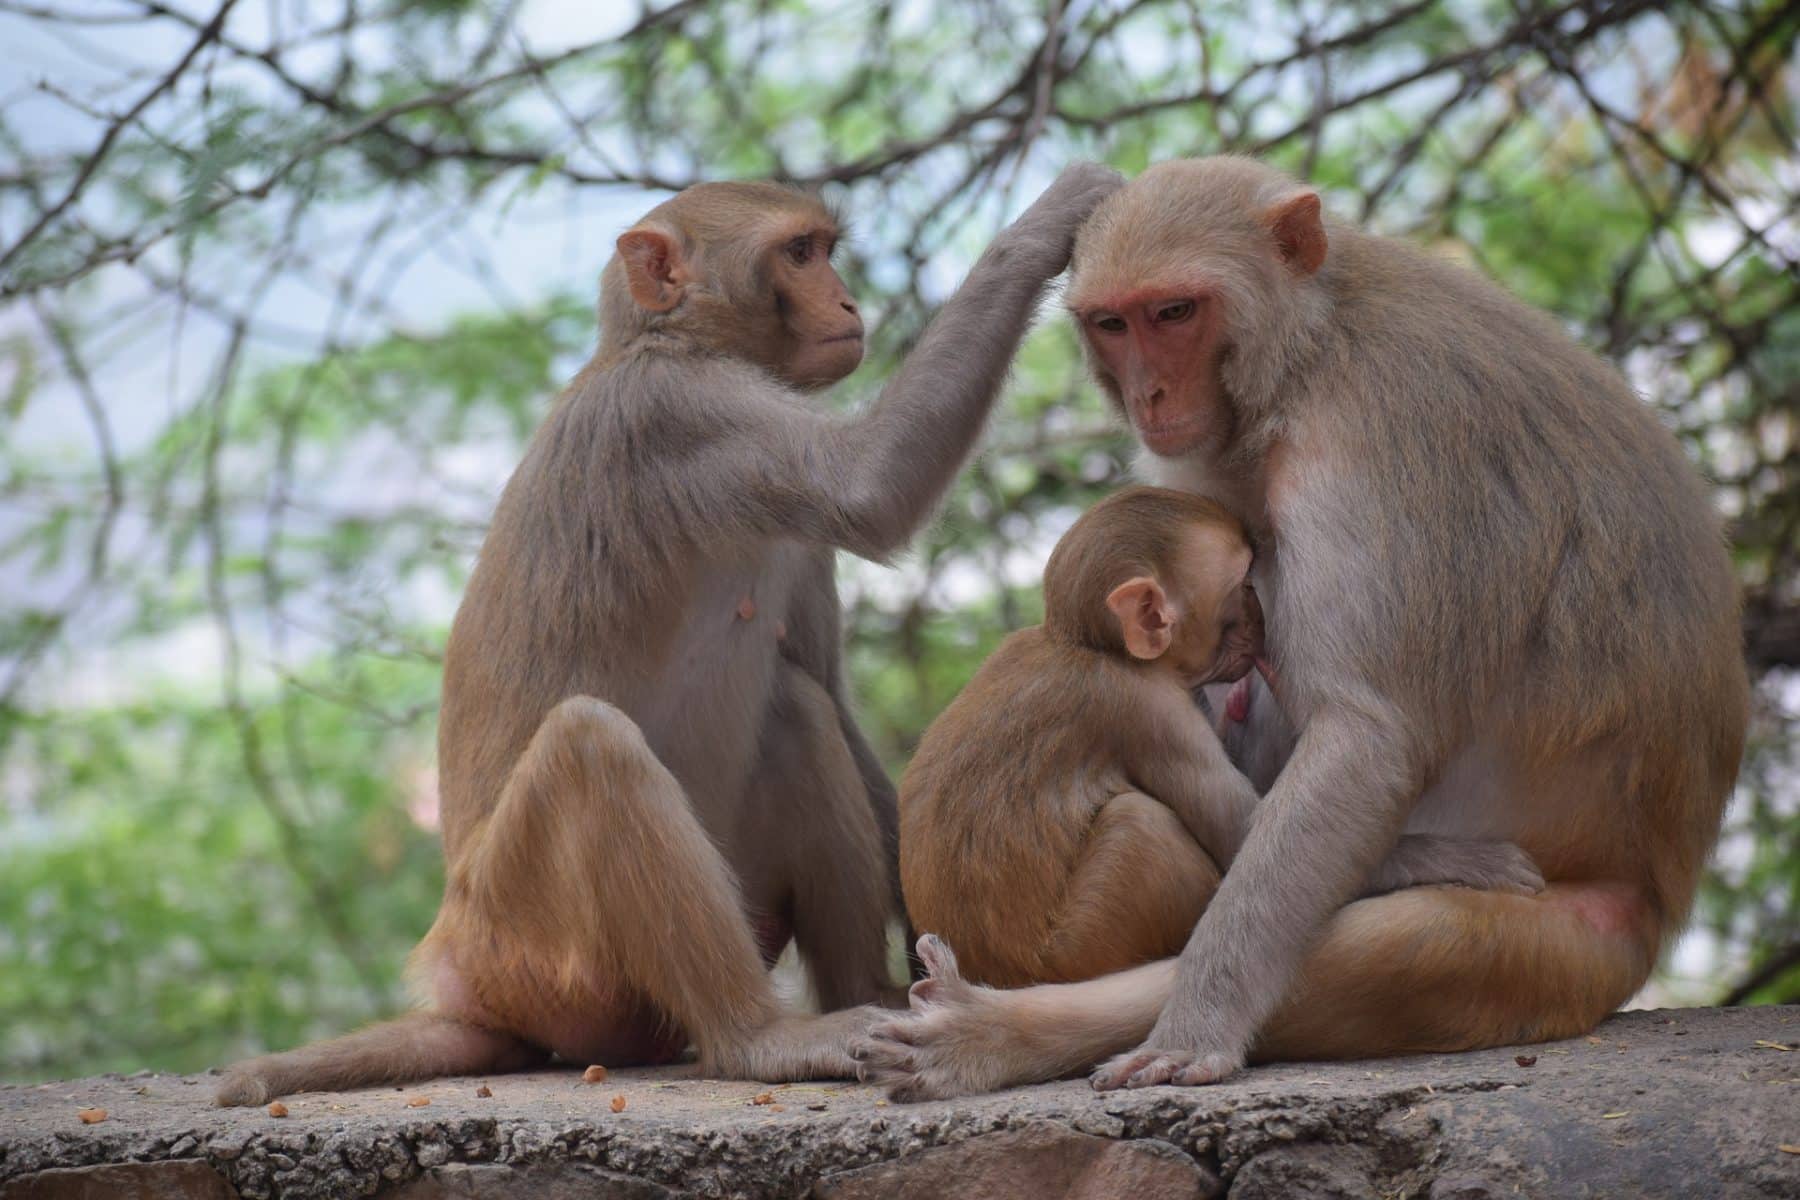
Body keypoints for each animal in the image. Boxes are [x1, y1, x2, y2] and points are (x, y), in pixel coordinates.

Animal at [214, 161, 1123, 1108]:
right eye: (800, 253)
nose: (844, 302)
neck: (673, 344)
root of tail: (466, 982)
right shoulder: (678, 414)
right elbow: (866, 486)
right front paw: (1051, 216)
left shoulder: (788, 533)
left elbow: (829, 691)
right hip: (535, 951)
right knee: (590, 746)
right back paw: (759, 1039)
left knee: (796, 709)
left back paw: (864, 994)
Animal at [892, 482, 1540, 993]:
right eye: (1240, 583)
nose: (1262, 613)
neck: (1085, 643)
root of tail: (991, 975)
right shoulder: (1148, 710)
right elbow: (1244, 835)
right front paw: (1466, 859)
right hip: (1077, 949)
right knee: (1141, 824)